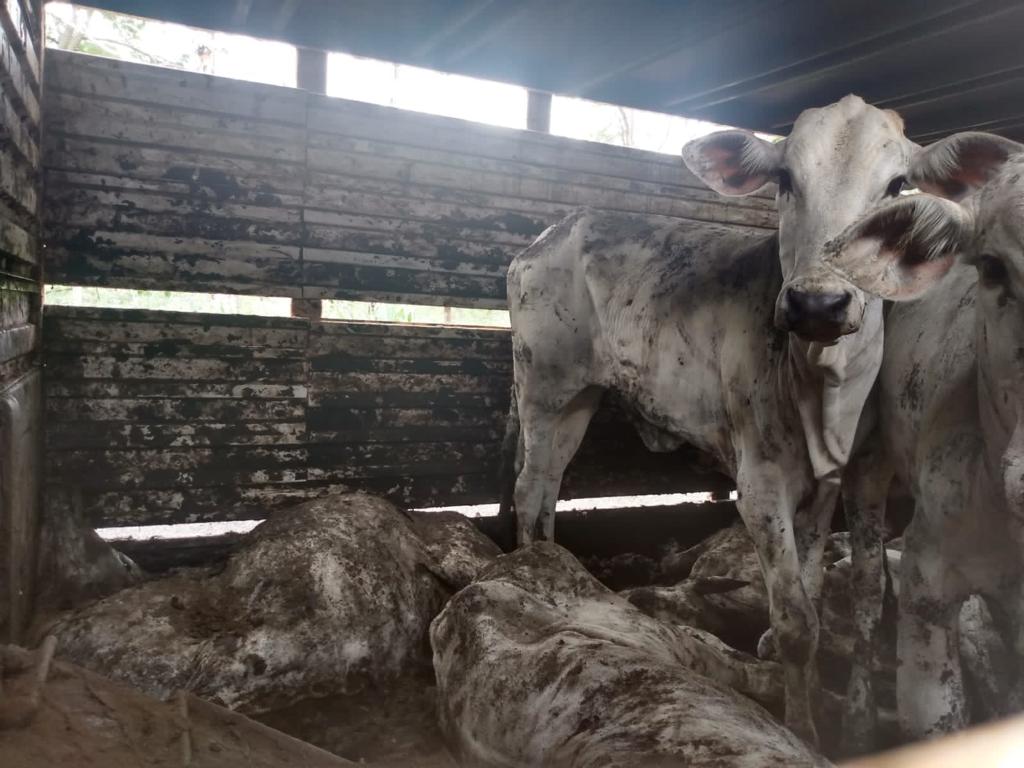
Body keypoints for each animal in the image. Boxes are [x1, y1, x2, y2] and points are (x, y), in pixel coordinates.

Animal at [501, 91, 913, 745]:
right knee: (528, 485)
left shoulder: (826, 485)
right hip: (545, 387)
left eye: (896, 186)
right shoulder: (761, 483)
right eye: (784, 179)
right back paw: (534, 567)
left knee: (546, 484)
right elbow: (797, 623)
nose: (819, 303)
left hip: (579, 399)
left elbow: (814, 587)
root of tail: (547, 236)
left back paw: (554, 563)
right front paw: (804, 727)